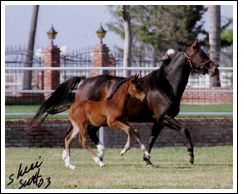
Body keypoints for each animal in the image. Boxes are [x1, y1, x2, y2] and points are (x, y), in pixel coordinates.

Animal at [26, 39, 217, 167]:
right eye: (201, 54)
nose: (214, 69)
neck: (165, 84)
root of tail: (84, 81)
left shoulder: (159, 120)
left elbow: (152, 139)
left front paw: (147, 159)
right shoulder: (165, 117)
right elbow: (185, 130)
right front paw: (190, 156)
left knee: (84, 132)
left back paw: (92, 156)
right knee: (79, 133)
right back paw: (84, 157)